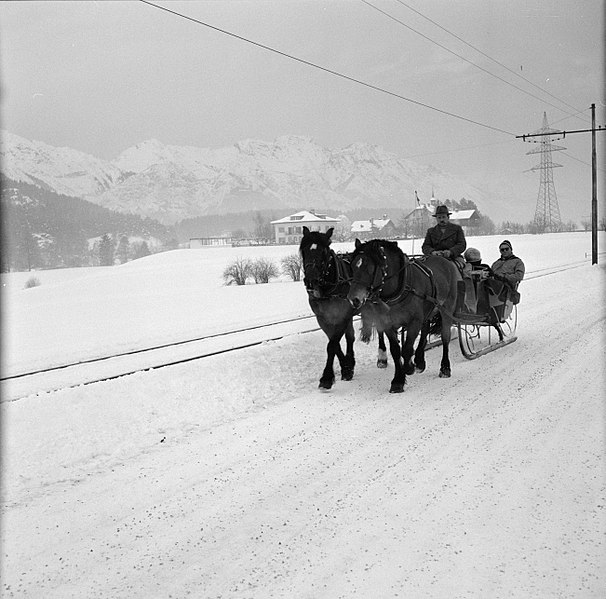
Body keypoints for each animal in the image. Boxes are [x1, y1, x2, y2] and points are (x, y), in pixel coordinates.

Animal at [350, 239, 458, 394]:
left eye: (369, 268)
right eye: (353, 266)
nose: (354, 299)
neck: (401, 288)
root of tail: (444, 260)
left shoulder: (414, 322)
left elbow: (406, 350)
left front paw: (409, 367)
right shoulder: (388, 323)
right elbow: (396, 351)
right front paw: (398, 381)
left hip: (447, 308)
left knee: (445, 337)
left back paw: (444, 368)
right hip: (428, 311)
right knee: (425, 330)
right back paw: (420, 361)